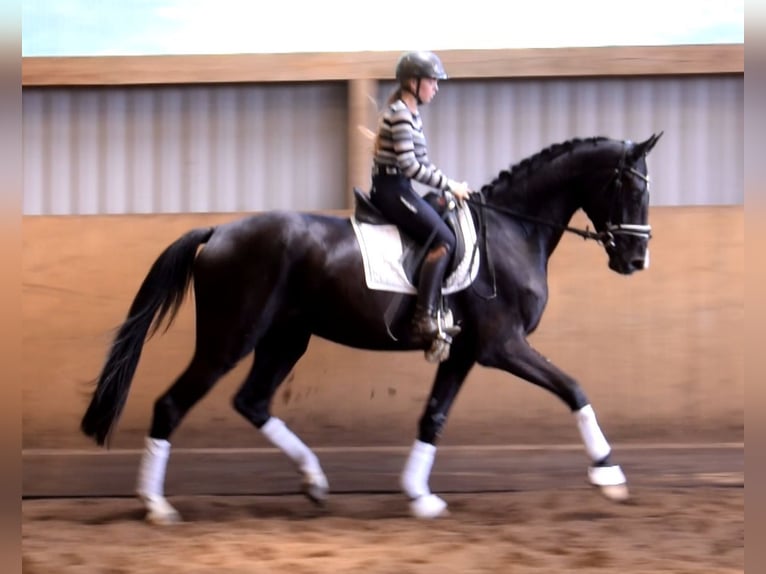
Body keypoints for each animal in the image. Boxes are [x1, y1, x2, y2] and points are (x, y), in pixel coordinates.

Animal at [81, 133, 662, 523]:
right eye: (630, 187)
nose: (635, 260)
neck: (513, 230)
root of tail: (219, 231)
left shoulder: (463, 352)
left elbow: (433, 417)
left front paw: (419, 496)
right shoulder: (503, 345)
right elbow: (574, 388)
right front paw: (609, 476)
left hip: (286, 339)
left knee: (253, 401)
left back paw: (314, 482)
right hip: (230, 339)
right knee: (172, 404)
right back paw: (157, 506)